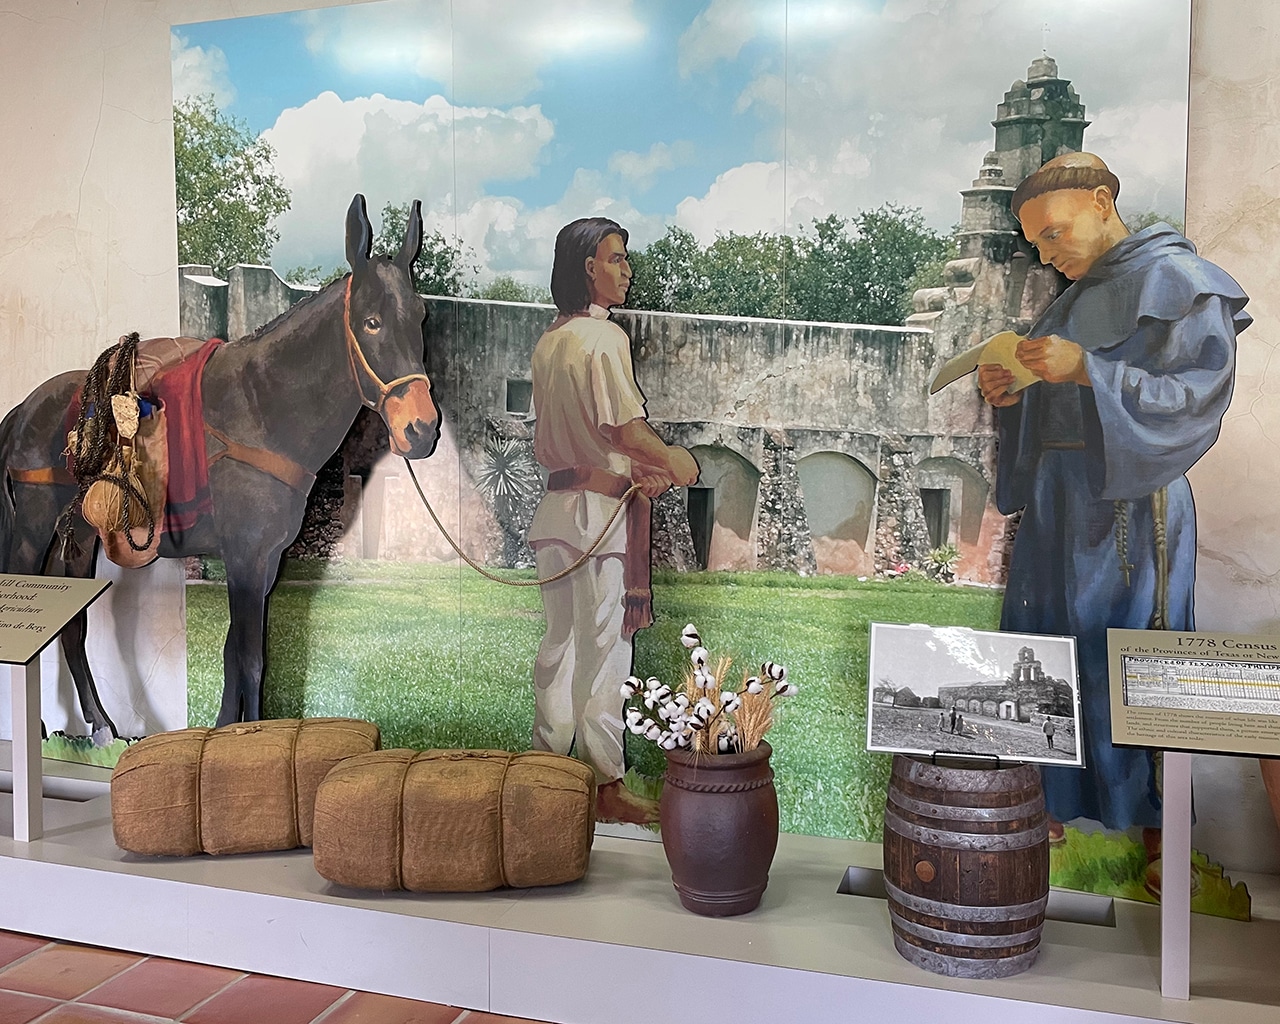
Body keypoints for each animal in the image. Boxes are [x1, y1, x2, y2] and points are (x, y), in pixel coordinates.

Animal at [0, 194, 439, 734]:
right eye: (371, 321)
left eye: (421, 316)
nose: (422, 428)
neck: (262, 408)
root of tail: (24, 409)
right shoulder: (245, 555)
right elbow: (251, 659)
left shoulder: (264, 559)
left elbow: (236, 654)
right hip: (33, 531)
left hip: (81, 536)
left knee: (74, 627)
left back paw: (101, 726)